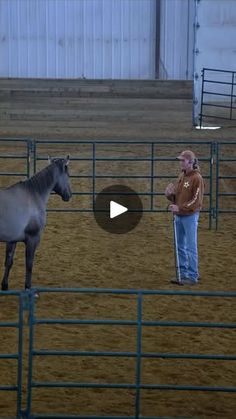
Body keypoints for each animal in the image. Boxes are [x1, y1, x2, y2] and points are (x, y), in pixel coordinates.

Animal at [0, 156, 72, 290]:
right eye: (68, 175)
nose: (69, 195)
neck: (33, 195)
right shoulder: (32, 238)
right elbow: (29, 264)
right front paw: (28, 287)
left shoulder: (12, 240)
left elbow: (8, 262)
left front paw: (4, 286)